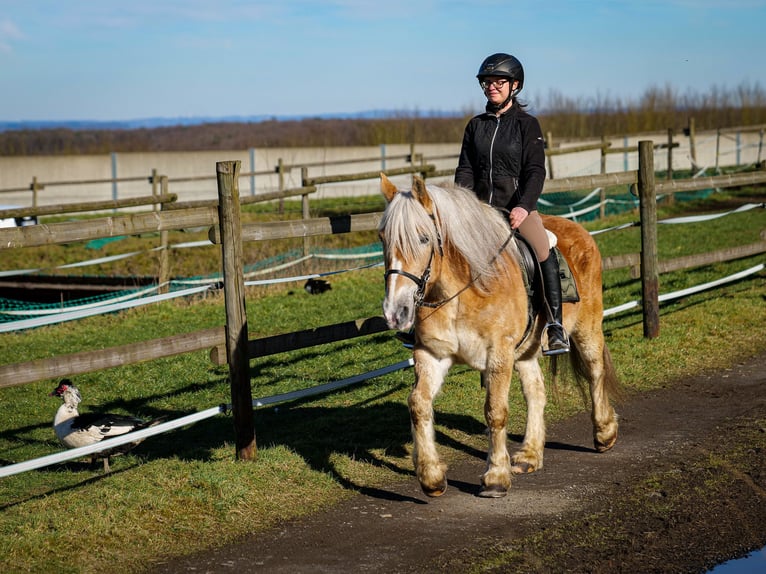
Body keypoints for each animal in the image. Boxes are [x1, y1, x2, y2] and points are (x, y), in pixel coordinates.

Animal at [380, 174, 620, 500]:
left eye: (423, 238)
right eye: (382, 238)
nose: (395, 312)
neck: (464, 289)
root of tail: (580, 230)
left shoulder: (498, 352)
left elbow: (495, 411)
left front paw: (495, 478)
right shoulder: (433, 354)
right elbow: (418, 404)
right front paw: (432, 478)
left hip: (587, 328)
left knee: (596, 372)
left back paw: (605, 433)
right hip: (527, 350)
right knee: (536, 391)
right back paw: (530, 455)